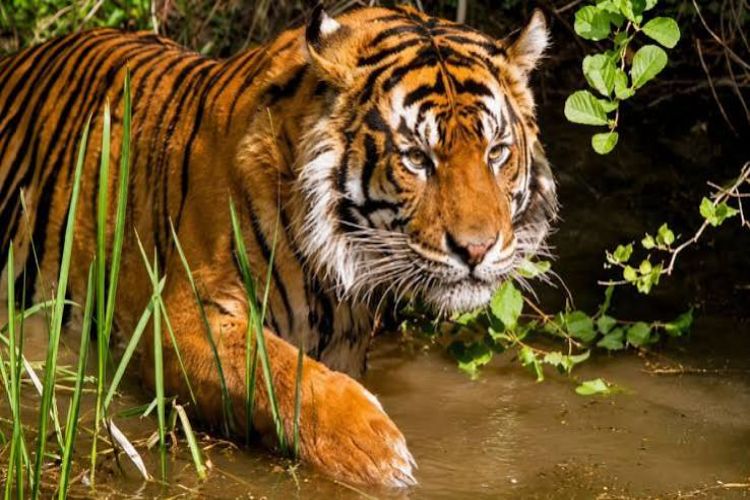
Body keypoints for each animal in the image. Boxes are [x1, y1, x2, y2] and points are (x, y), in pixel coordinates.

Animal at [0, 5, 556, 487]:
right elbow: (284, 373)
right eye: (417, 158)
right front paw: (381, 456)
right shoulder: (180, 317)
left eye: (496, 152)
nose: (477, 250)